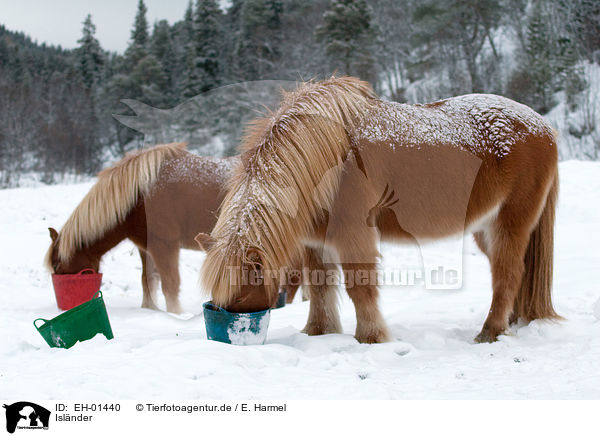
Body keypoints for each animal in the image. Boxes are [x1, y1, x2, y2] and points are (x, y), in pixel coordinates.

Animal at [199, 77, 560, 344]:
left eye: (241, 294)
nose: (229, 332)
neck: (326, 157)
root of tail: (543, 126)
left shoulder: (353, 233)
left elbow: (359, 287)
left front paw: (371, 337)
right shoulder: (316, 243)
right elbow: (320, 288)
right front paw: (318, 333)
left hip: (510, 223)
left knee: (507, 274)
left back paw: (491, 332)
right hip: (486, 229)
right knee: (515, 273)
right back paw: (511, 321)